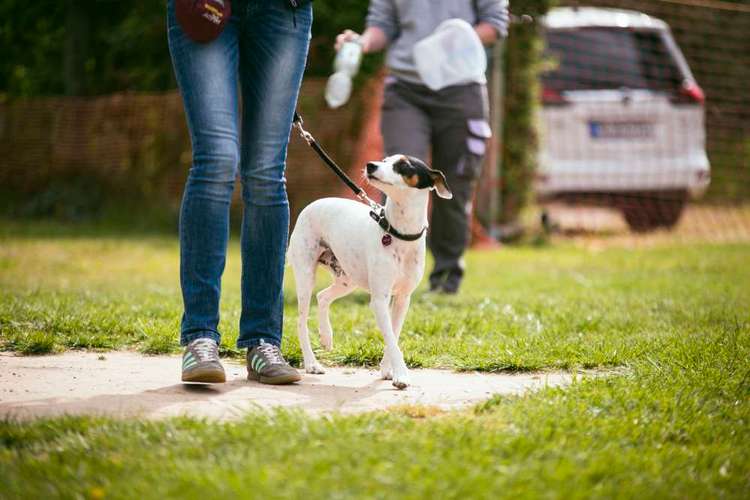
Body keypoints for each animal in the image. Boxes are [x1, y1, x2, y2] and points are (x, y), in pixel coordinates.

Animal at [286, 154, 452, 388]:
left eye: (403, 165)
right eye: (384, 160)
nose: (370, 165)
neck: (399, 233)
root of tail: (312, 204)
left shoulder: (403, 299)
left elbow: (394, 334)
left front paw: (387, 370)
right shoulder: (380, 299)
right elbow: (391, 338)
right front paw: (401, 375)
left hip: (347, 280)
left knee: (323, 296)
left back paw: (326, 336)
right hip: (306, 276)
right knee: (301, 320)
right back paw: (311, 363)